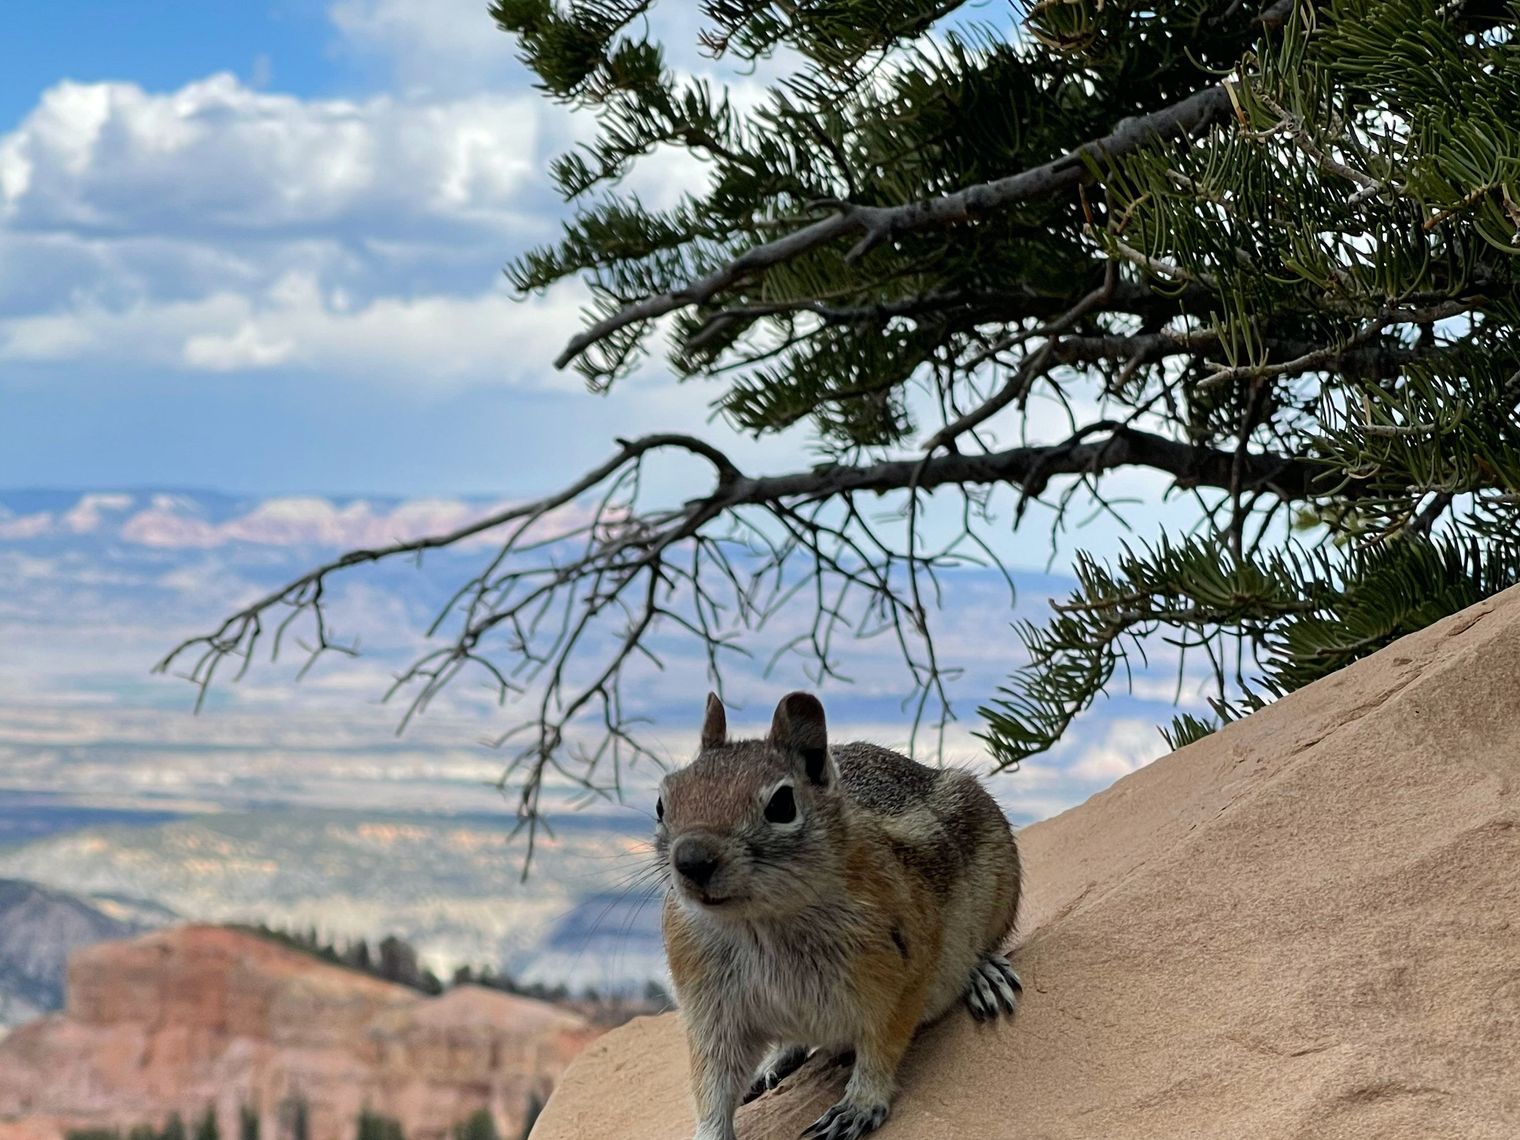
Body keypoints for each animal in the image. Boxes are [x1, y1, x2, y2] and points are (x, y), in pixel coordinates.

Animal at [656, 691, 1022, 1140]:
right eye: (662, 802)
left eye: (782, 804)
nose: (691, 859)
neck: (761, 922)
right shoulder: (710, 1011)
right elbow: (712, 1082)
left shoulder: (900, 977)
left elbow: (881, 1046)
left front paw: (859, 1104)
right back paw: (773, 1065)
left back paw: (984, 973)